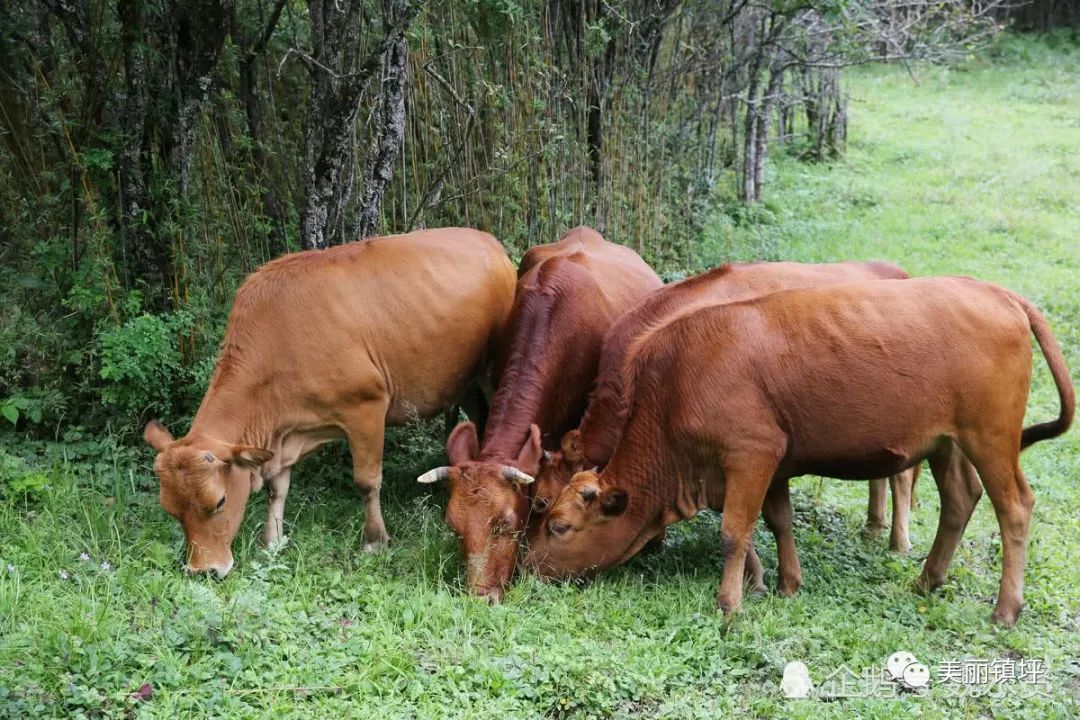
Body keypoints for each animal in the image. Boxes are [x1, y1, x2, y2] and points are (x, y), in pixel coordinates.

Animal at [145, 227, 516, 578]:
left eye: (219, 502)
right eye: (170, 510)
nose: (203, 571)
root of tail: (488, 241)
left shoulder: (366, 407)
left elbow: (367, 481)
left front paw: (374, 541)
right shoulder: (283, 433)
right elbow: (277, 488)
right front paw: (272, 541)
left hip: (488, 371)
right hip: (465, 381)